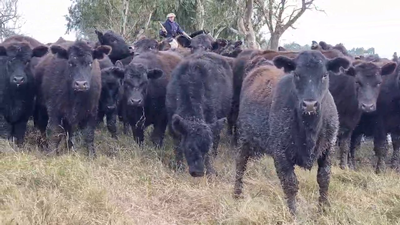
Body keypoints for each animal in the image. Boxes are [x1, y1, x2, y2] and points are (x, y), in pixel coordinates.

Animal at [234, 50, 350, 214]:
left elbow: (324, 178)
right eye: (297, 74)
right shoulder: (280, 152)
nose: (310, 105)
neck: (310, 129)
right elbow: (290, 183)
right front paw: (293, 213)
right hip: (244, 137)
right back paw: (237, 194)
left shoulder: (329, 148)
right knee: (240, 163)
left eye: (324, 75)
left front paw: (323, 208)